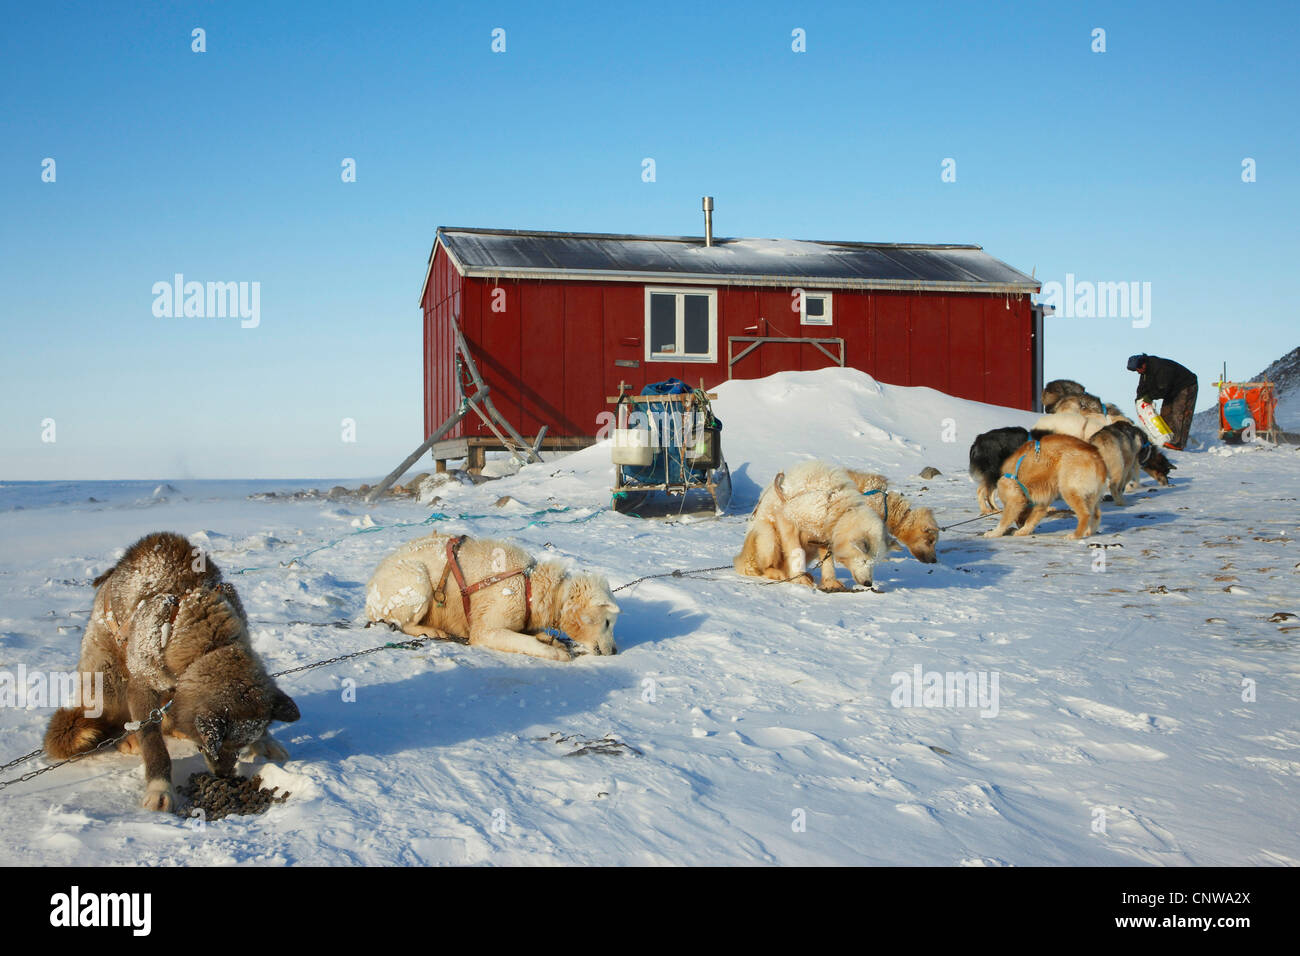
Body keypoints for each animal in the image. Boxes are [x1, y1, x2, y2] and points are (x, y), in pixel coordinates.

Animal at [43, 535, 301, 811]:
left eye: (239, 746)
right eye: (217, 746)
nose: (224, 775)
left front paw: (265, 742)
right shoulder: (142, 687)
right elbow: (155, 747)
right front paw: (160, 787)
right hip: (107, 678)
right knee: (112, 723)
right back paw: (127, 738)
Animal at [366, 535, 618, 660]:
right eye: (607, 622)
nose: (615, 651)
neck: (530, 586)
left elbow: (535, 635)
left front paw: (549, 640)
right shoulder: (486, 629)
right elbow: (524, 641)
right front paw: (555, 651)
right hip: (418, 580)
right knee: (403, 623)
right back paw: (431, 631)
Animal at [733, 463, 894, 590]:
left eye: (874, 563)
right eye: (864, 560)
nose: (868, 583)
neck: (833, 505)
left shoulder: (823, 537)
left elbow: (828, 562)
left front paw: (830, 582)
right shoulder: (787, 518)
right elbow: (796, 552)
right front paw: (800, 578)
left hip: (810, 548)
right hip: (770, 538)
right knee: (762, 568)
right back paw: (778, 573)